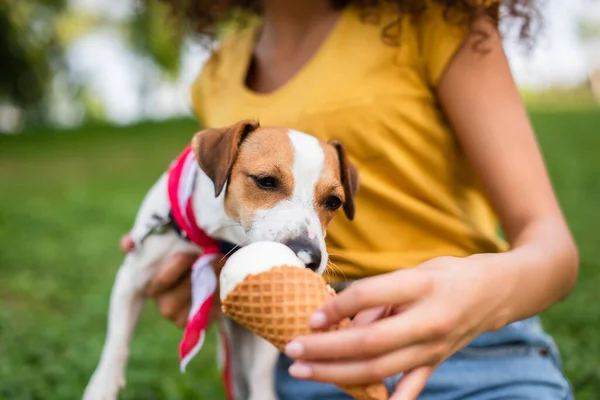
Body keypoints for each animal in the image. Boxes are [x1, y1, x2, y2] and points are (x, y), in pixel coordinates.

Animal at [82, 119, 358, 400]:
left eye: (334, 201)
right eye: (266, 181)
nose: (308, 256)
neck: (216, 236)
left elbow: (260, 370)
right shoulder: (132, 277)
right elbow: (116, 342)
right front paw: (101, 388)